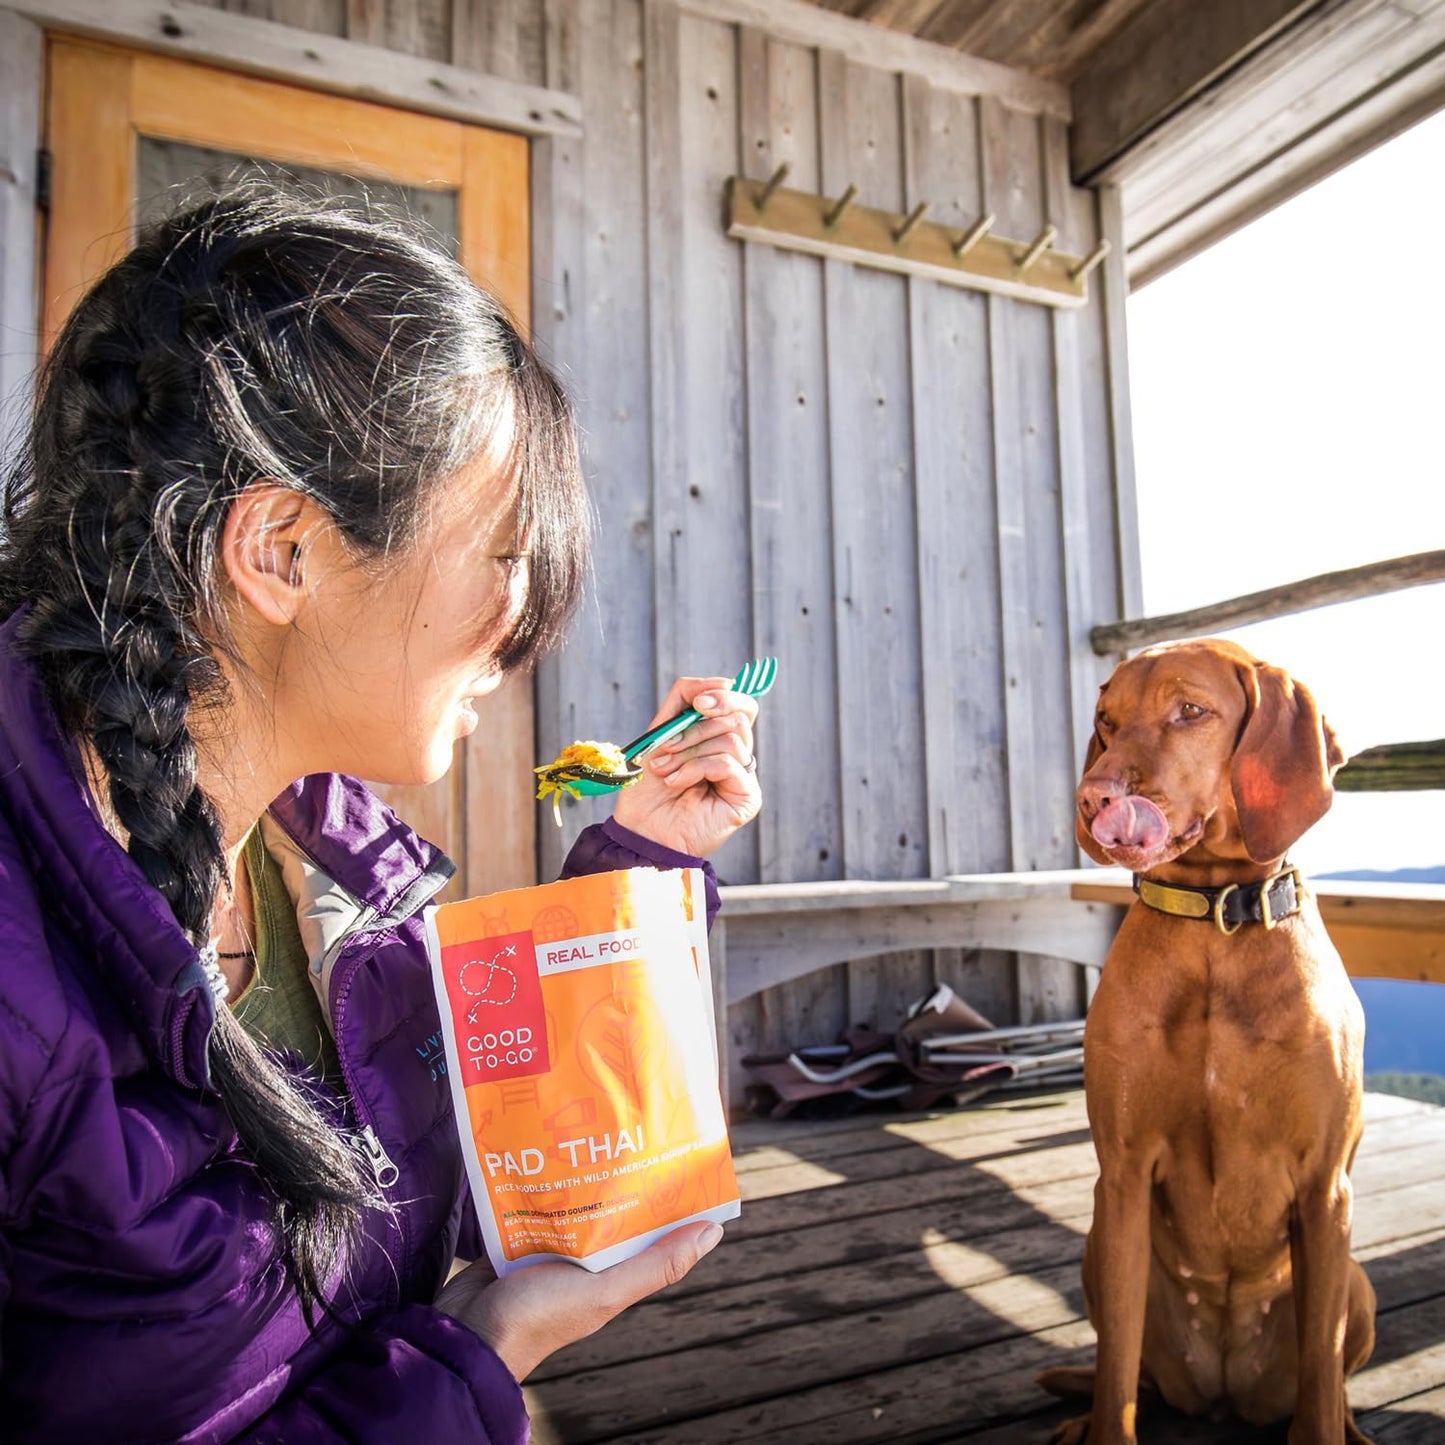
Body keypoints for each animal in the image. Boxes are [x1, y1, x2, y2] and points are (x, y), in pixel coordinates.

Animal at [1046, 644, 1369, 1445]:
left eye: (1189, 711)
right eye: (1106, 720)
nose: (1092, 796)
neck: (1215, 926)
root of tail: (1225, 1391)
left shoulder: (1324, 1187)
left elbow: (1321, 1381)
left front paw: (1328, 1425)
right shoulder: (1123, 1176)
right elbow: (1114, 1374)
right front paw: (1100, 1426)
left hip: (1355, 1279)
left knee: (1333, 1374)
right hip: (1098, 1249)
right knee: (1133, 1371)